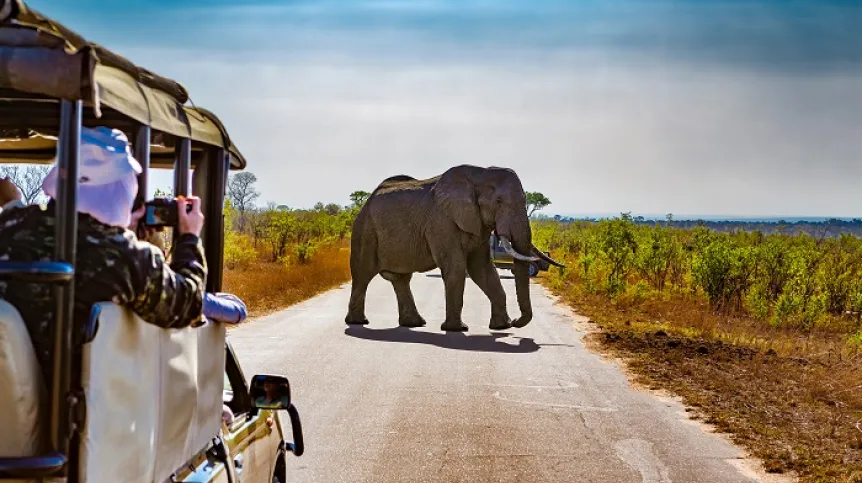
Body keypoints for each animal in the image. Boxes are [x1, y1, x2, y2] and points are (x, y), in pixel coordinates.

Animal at [344, 166, 568, 332]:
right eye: (498, 202)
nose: (516, 322)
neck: (479, 175)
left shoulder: (478, 225)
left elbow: (482, 269)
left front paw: (501, 327)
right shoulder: (441, 222)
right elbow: (456, 268)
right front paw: (457, 329)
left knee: (400, 279)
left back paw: (415, 324)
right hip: (365, 229)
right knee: (363, 274)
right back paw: (358, 322)